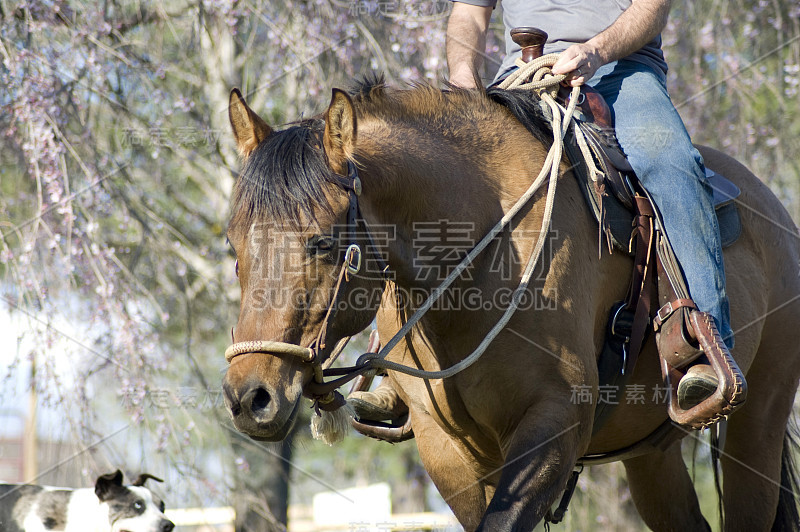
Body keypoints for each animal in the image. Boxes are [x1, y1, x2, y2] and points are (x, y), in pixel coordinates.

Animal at [219, 72, 800, 528]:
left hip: (757, 425)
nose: (251, 396)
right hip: (652, 456)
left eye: (322, 241)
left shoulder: (554, 422)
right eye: (233, 243)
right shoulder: (448, 451)